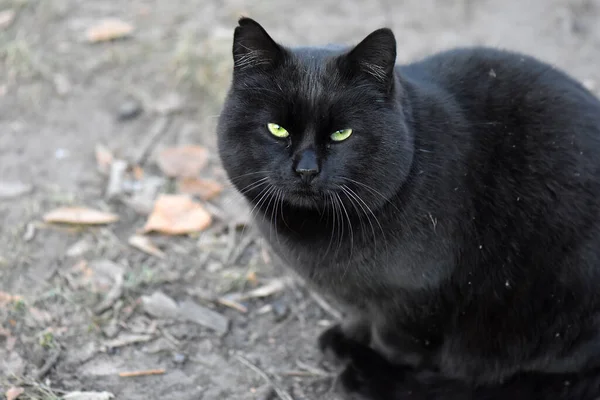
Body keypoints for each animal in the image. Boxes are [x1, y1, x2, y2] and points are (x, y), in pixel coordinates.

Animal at [216, 17, 600, 398]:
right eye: (277, 129)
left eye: (342, 134)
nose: (307, 169)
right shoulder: (356, 297)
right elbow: (359, 315)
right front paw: (350, 335)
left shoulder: (414, 302)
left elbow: (396, 345)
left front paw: (372, 361)